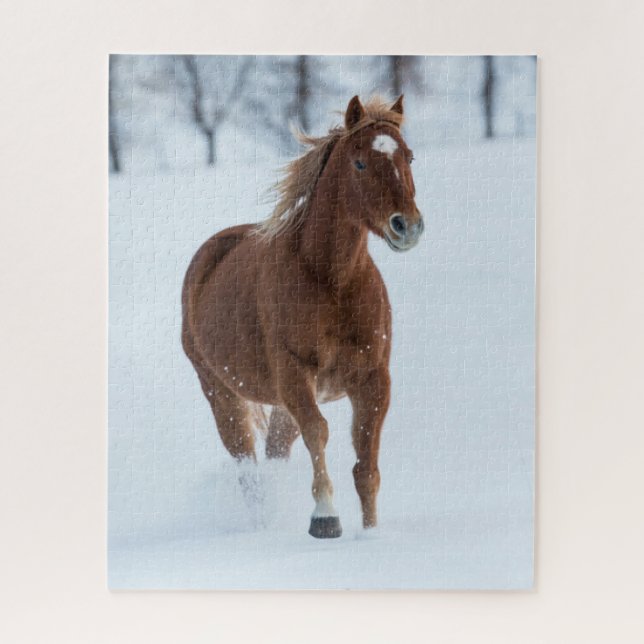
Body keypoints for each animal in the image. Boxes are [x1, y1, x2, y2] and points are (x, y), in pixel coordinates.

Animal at [181, 95, 424, 538]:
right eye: (359, 163)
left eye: (409, 156)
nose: (407, 227)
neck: (330, 280)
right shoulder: (295, 374)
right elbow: (319, 433)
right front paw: (325, 519)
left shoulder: (373, 378)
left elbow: (366, 464)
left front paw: (371, 533)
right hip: (222, 394)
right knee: (247, 466)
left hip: (278, 404)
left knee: (275, 451)